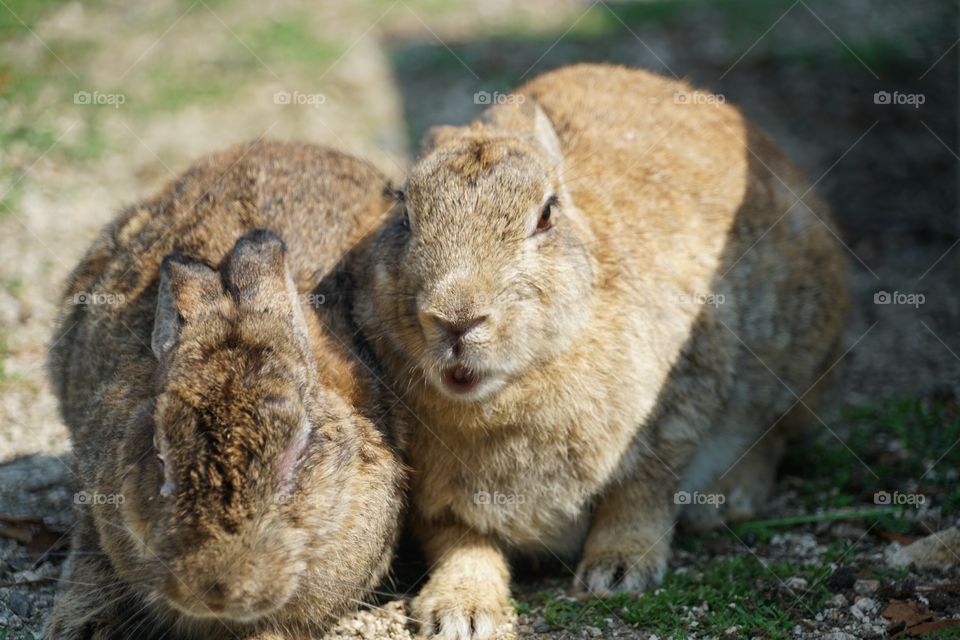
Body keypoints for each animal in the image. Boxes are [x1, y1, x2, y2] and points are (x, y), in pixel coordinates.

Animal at [351, 63, 850, 638]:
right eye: (404, 213)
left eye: (546, 215)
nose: (457, 319)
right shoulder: (437, 496)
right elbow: (460, 543)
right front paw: (460, 611)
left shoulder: (677, 404)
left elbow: (642, 492)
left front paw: (617, 571)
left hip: (794, 356)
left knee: (776, 432)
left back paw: (727, 500)